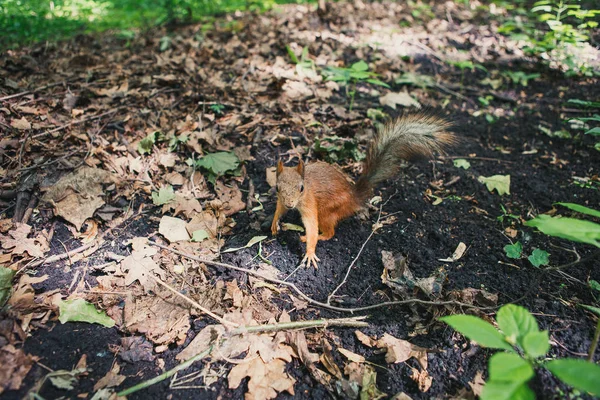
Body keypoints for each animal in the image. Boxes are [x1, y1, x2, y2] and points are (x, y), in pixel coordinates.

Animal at [272, 112, 454, 268]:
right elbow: (279, 209)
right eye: (277, 188)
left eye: (301, 188)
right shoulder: (281, 200)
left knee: (330, 232)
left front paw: (310, 252)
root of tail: (354, 197)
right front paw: (274, 223)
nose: (290, 204)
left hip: (328, 211)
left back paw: (318, 236)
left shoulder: (310, 203)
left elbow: (311, 226)